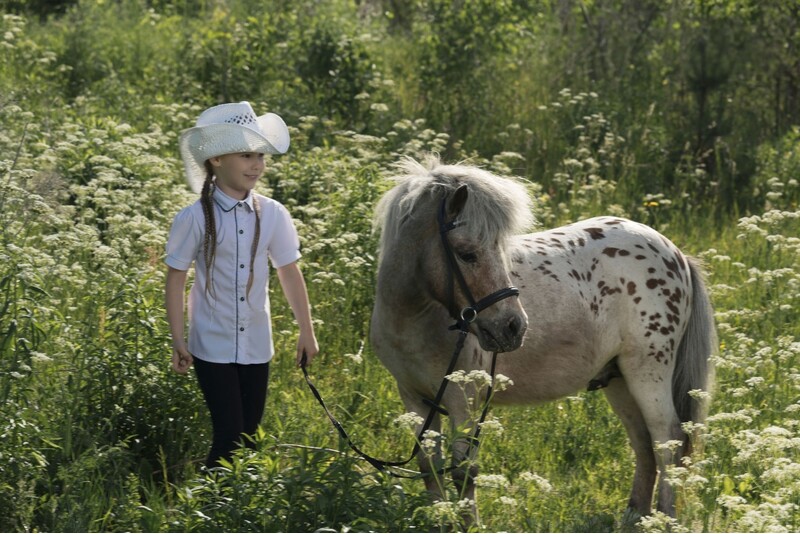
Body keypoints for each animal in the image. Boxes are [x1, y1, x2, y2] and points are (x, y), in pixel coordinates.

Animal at [372, 155, 716, 524]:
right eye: (466, 254)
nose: (514, 327)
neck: (416, 319)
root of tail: (674, 253)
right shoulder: (414, 399)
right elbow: (429, 467)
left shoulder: (463, 401)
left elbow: (463, 471)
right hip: (620, 381)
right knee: (644, 443)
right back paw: (635, 517)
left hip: (647, 373)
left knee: (667, 438)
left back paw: (665, 519)